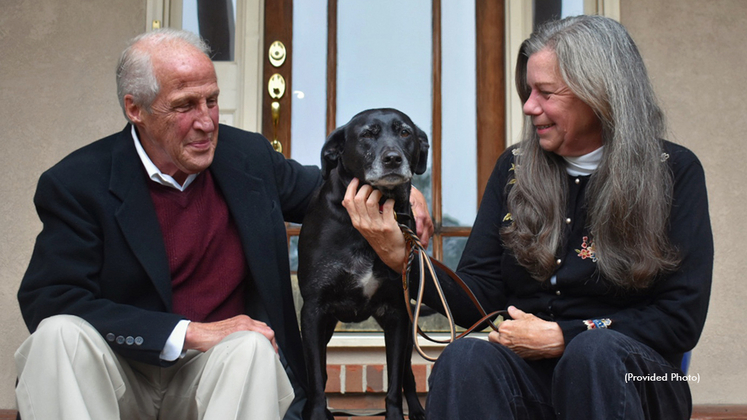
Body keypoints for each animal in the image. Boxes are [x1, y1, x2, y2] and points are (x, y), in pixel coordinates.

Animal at [296, 109, 426, 420]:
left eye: (405, 132)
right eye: (367, 134)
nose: (393, 159)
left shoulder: (397, 314)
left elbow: (394, 384)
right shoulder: (314, 312)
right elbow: (317, 377)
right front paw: (317, 413)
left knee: (407, 375)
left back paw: (416, 410)